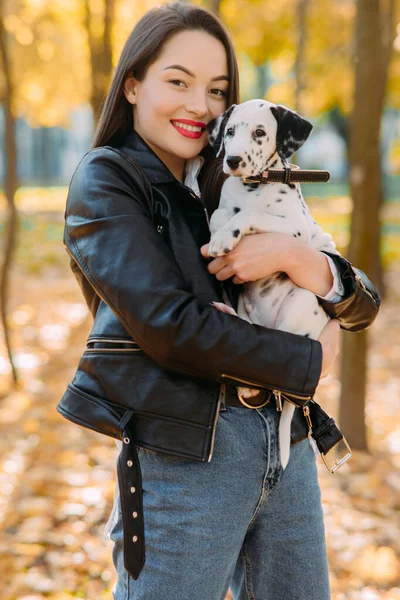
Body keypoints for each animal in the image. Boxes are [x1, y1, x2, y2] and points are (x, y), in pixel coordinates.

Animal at [206, 98, 340, 472]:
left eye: (260, 133)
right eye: (229, 131)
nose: (232, 160)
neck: (253, 187)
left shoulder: (294, 229)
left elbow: (250, 216)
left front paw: (227, 236)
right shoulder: (226, 204)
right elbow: (221, 214)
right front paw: (219, 230)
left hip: (301, 301)